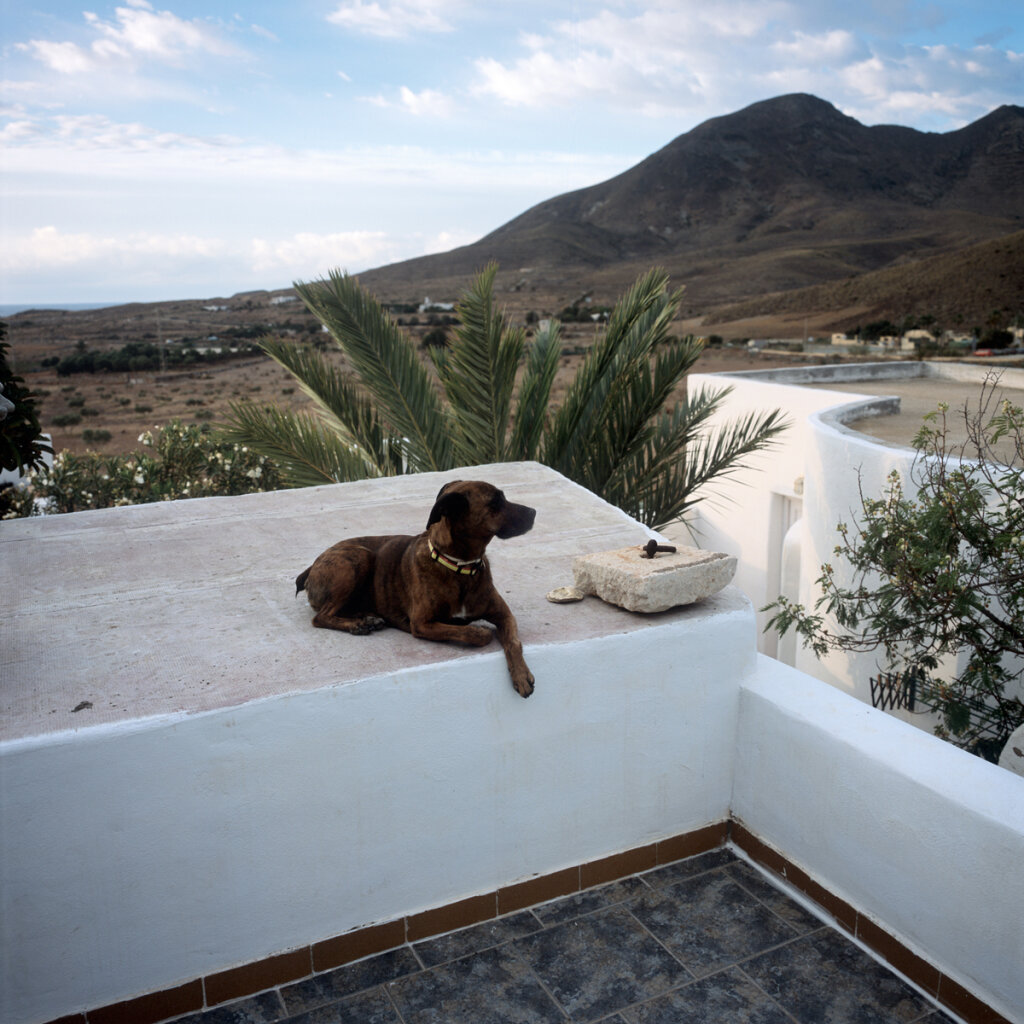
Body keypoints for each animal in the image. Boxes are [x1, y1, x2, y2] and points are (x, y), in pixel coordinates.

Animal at [296, 479, 536, 696]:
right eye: (495, 502)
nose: (534, 512)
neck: (459, 567)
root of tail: (312, 566)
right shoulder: (422, 623)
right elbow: (473, 633)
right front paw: (479, 631)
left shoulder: (504, 614)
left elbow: (514, 642)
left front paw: (521, 674)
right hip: (358, 558)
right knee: (321, 617)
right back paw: (358, 625)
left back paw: (367, 619)